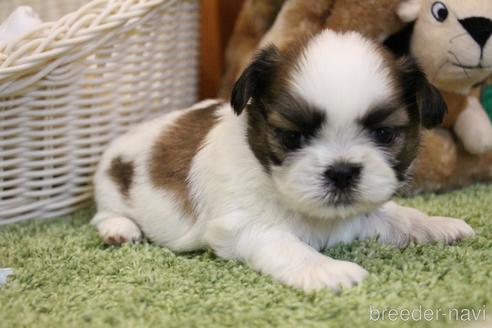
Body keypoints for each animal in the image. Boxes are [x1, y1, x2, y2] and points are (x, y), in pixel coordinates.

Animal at [91, 30, 472, 290]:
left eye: (383, 134)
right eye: (292, 137)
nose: (342, 172)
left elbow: (397, 216)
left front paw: (438, 225)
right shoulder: (243, 225)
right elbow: (286, 245)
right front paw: (328, 269)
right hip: (110, 187)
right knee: (103, 215)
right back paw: (119, 229)